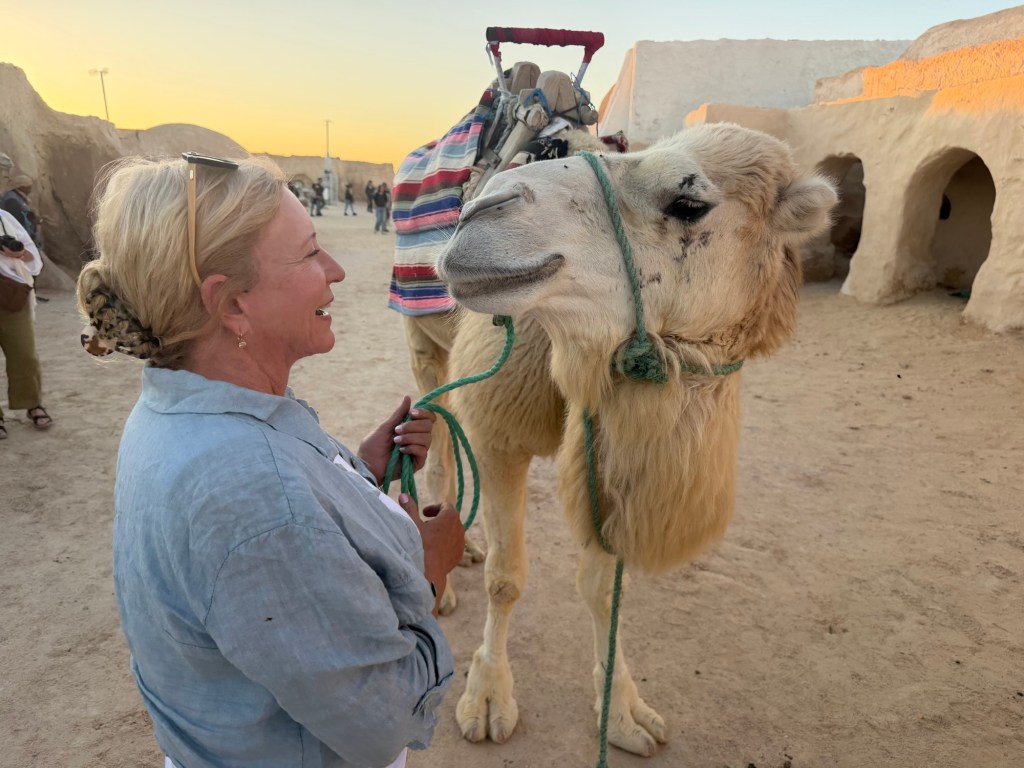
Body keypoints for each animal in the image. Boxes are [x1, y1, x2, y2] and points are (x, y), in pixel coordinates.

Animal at [426, 122, 837, 756]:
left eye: (688, 204)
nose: (482, 211)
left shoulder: (615, 451)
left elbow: (602, 589)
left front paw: (622, 712)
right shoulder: (499, 430)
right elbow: (505, 578)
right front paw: (488, 698)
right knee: (435, 429)